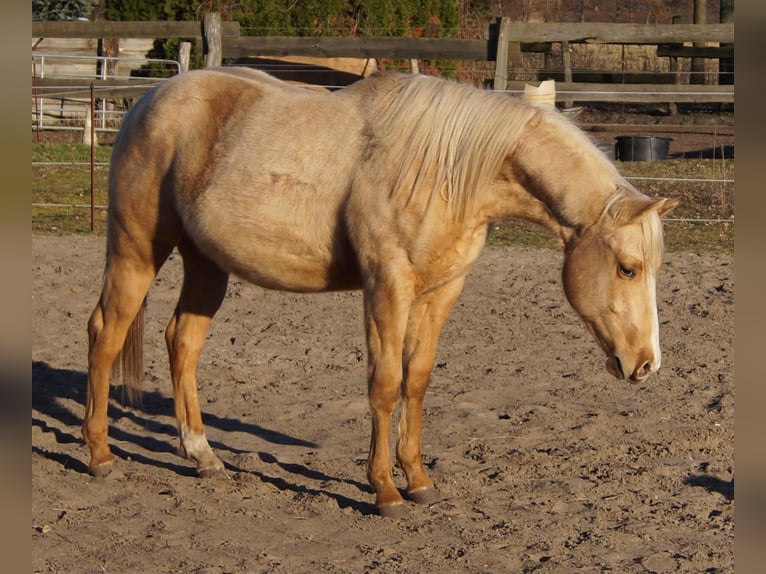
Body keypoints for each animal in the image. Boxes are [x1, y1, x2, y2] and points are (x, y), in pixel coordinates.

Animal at [85, 66, 684, 516]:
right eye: (628, 268)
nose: (647, 364)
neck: (449, 170)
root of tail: (148, 101)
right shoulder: (386, 288)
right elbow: (385, 383)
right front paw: (385, 491)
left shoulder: (440, 292)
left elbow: (415, 382)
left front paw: (418, 480)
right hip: (137, 250)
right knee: (105, 334)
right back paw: (99, 455)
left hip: (206, 265)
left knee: (182, 342)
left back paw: (202, 455)